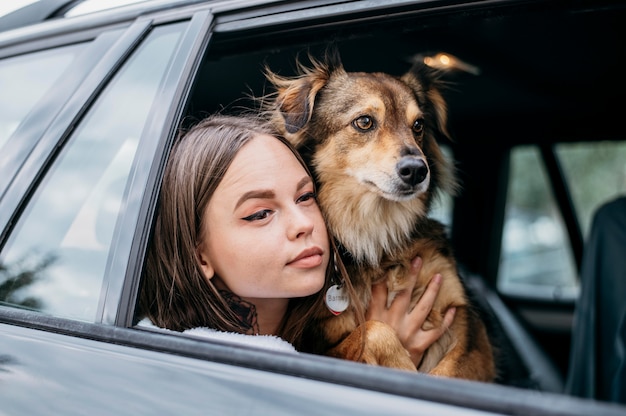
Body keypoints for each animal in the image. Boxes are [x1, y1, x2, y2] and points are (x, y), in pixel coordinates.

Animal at [262, 50, 492, 382]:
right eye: (364, 122)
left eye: (418, 125)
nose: (417, 170)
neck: (376, 234)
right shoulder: (317, 346)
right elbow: (374, 331)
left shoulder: (466, 324)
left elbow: (449, 374)